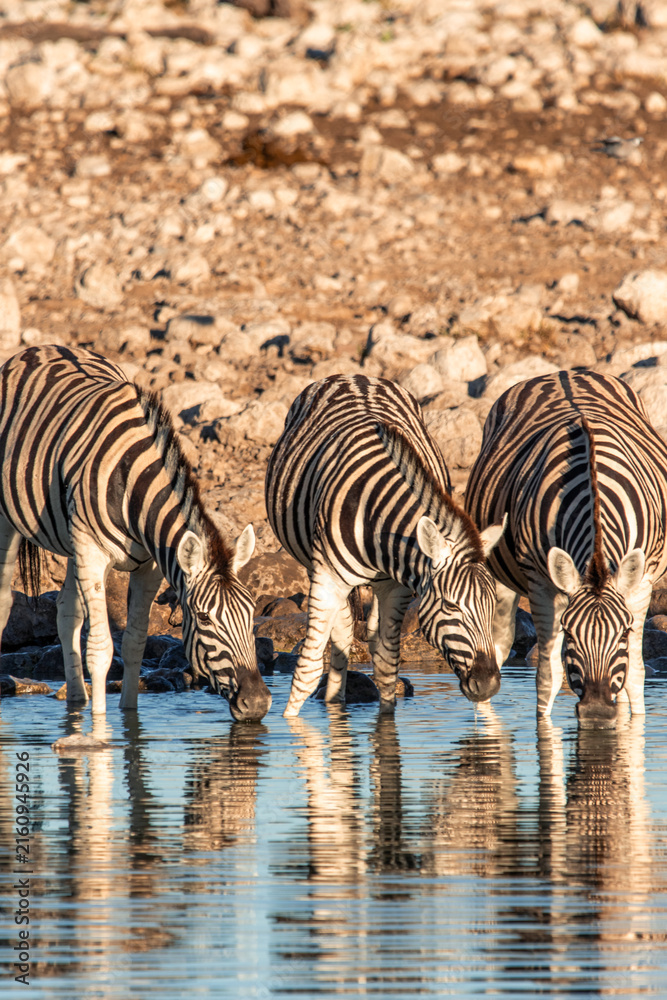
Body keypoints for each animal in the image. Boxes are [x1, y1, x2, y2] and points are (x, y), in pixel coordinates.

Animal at [0, 344, 272, 721]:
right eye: (204, 618)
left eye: (251, 612)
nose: (258, 703)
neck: (133, 485)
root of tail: (39, 348)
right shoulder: (94, 553)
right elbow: (101, 649)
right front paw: (100, 730)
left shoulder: (150, 566)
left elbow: (134, 643)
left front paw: (130, 720)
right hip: (11, 521)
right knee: (4, 601)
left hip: (72, 544)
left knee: (68, 611)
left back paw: (77, 702)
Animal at [265, 373, 505, 718]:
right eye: (450, 606)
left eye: (493, 607)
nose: (488, 686)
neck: (378, 517)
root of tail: (353, 376)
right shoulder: (326, 579)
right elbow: (308, 670)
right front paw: (289, 723)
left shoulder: (398, 588)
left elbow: (386, 666)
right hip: (319, 567)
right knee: (343, 629)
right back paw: (334, 702)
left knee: (365, 632)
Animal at [465, 369, 667, 726]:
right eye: (570, 634)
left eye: (623, 633)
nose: (597, 712)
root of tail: (565, 372)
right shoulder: (541, 584)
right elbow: (549, 676)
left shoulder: (642, 581)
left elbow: (635, 675)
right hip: (499, 571)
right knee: (498, 647)